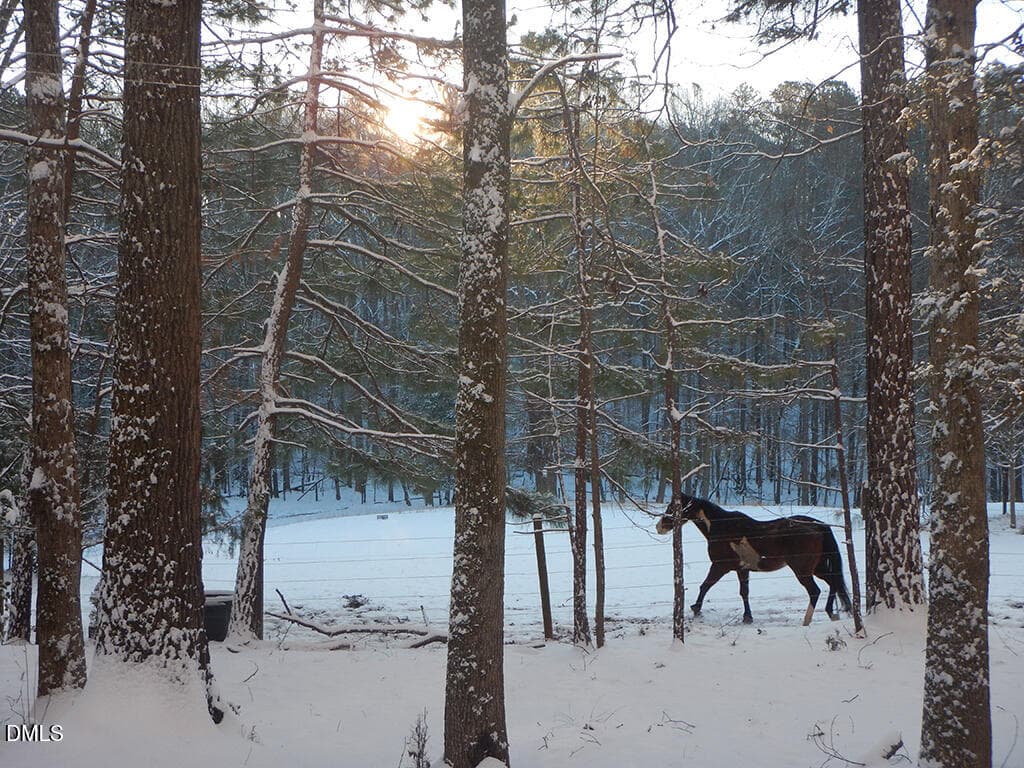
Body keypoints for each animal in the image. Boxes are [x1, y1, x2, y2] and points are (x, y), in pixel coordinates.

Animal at [655, 493, 852, 626]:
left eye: (673, 507)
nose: (659, 527)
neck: (722, 527)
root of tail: (818, 526)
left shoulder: (719, 566)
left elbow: (705, 585)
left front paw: (696, 609)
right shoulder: (742, 569)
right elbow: (744, 592)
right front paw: (747, 617)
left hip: (803, 570)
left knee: (815, 591)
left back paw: (807, 620)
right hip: (818, 568)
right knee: (834, 582)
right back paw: (832, 613)